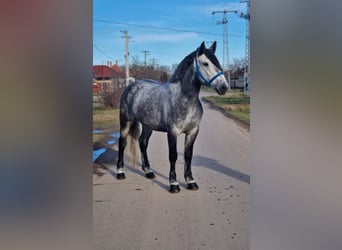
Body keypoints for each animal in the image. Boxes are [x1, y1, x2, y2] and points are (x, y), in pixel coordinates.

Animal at [116, 41, 228, 193]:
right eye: (205, 63)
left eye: (218, 62)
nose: (224, 87)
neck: (184, 98)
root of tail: (131, 85)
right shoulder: (172, 132)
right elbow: (173, 156)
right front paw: (173, 184)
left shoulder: (193, 131)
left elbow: (188, 155)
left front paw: (191, 182)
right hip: (126, 121)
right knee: (122, 143)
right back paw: (120, 172)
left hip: (148, 125)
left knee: (143, 143)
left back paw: (148, 171)